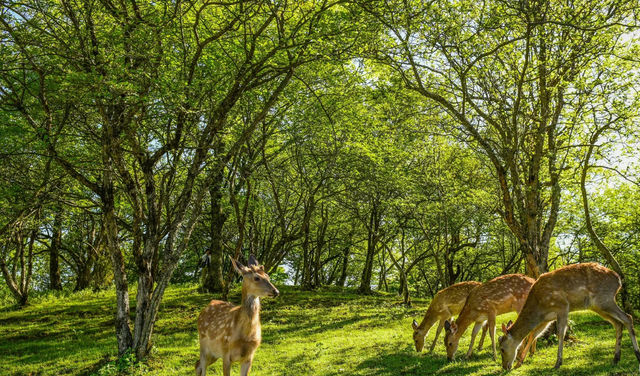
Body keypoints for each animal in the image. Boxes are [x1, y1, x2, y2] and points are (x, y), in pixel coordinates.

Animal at [500, 262, 640, 372]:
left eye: (502, 349)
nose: (505, 367)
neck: (539, 306)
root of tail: (619, 280)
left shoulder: (562, 306)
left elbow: (560, 333)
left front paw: (558, 363)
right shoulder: (546, 318)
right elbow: (534, 334)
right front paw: (519, 362)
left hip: (604, 299)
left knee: (628, 317)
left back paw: (637, 354)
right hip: (597, 306)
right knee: (618, 323)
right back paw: (616, 358)